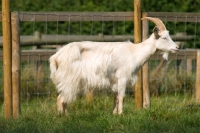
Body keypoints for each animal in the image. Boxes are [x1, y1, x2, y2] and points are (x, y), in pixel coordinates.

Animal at [49, 16, 179, 114]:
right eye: (164, 38)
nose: (177, 47)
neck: (134, 52)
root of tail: (56, 57)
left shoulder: (115, 80)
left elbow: (115, 97)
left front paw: (114, 113)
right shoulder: (122, 77)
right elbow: (121, 96)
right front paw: (121, 114)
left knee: (63, 98)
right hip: (69, 79)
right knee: (61, 98)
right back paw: (63, 117)